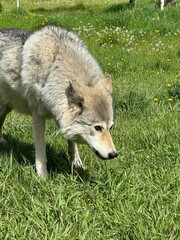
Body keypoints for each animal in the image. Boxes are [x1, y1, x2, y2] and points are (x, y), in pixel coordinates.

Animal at [0, 25, 117, 176]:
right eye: (98, 128)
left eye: (111, 127)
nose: (114, 154)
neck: (54, 69)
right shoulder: (37, 115)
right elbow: (41, 152)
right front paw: (42, 176)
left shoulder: (60, 114)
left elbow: (72, 145)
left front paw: (77, 164)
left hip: (7, 107)